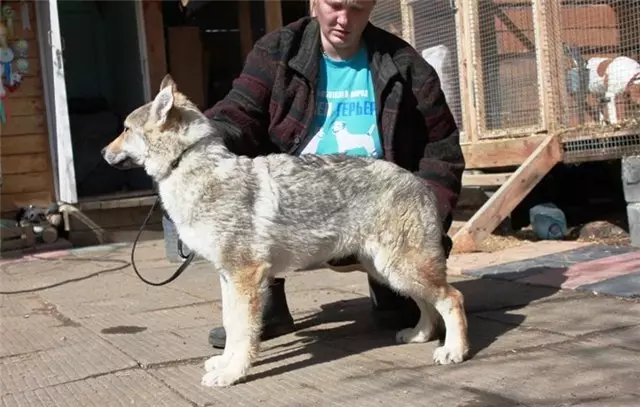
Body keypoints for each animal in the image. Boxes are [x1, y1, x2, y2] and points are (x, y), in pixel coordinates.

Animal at [101, 74, 470, 388]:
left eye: (125, 129)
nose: (103, 152)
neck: (191, 168)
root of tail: (418, 181)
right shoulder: (228, 278)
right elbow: (232, 326)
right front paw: (224, 364)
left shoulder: (244, 277)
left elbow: (243, 333)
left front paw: (232, 374)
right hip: (388, 272)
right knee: (429, 304)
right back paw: (420, 335)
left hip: (399, 270)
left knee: (452, 298)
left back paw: (454, 351)